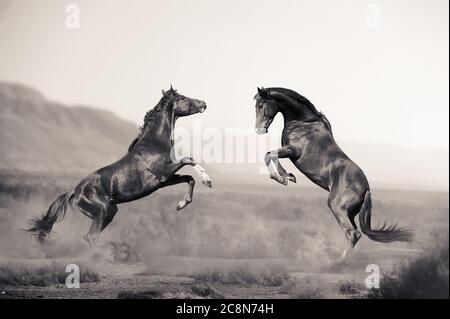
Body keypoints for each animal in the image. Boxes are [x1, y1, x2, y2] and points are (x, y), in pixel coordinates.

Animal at [27, 87, 211, 248]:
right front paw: (207, 181)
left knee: (90, 236)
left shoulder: (164, 181)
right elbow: (189, 159)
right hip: (102, 211)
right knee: (89, 236)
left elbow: (189, 179)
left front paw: (181, 204)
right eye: (183, 98)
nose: (203, 103)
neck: (154, 143)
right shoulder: (164, 173)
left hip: (111, 211)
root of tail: (75, 192)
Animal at [253, 87, 412, 260]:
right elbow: (271, 156)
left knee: (352, 233)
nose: (259, 130)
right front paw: (289, 176)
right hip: (349, 213)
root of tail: (366, 189)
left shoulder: (292, 150)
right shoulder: (288, 151)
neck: (303, 122)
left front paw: (281, 178)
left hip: (337, 207)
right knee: (356, 233)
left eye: (261, 105)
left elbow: (269, 155)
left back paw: (339, 262)